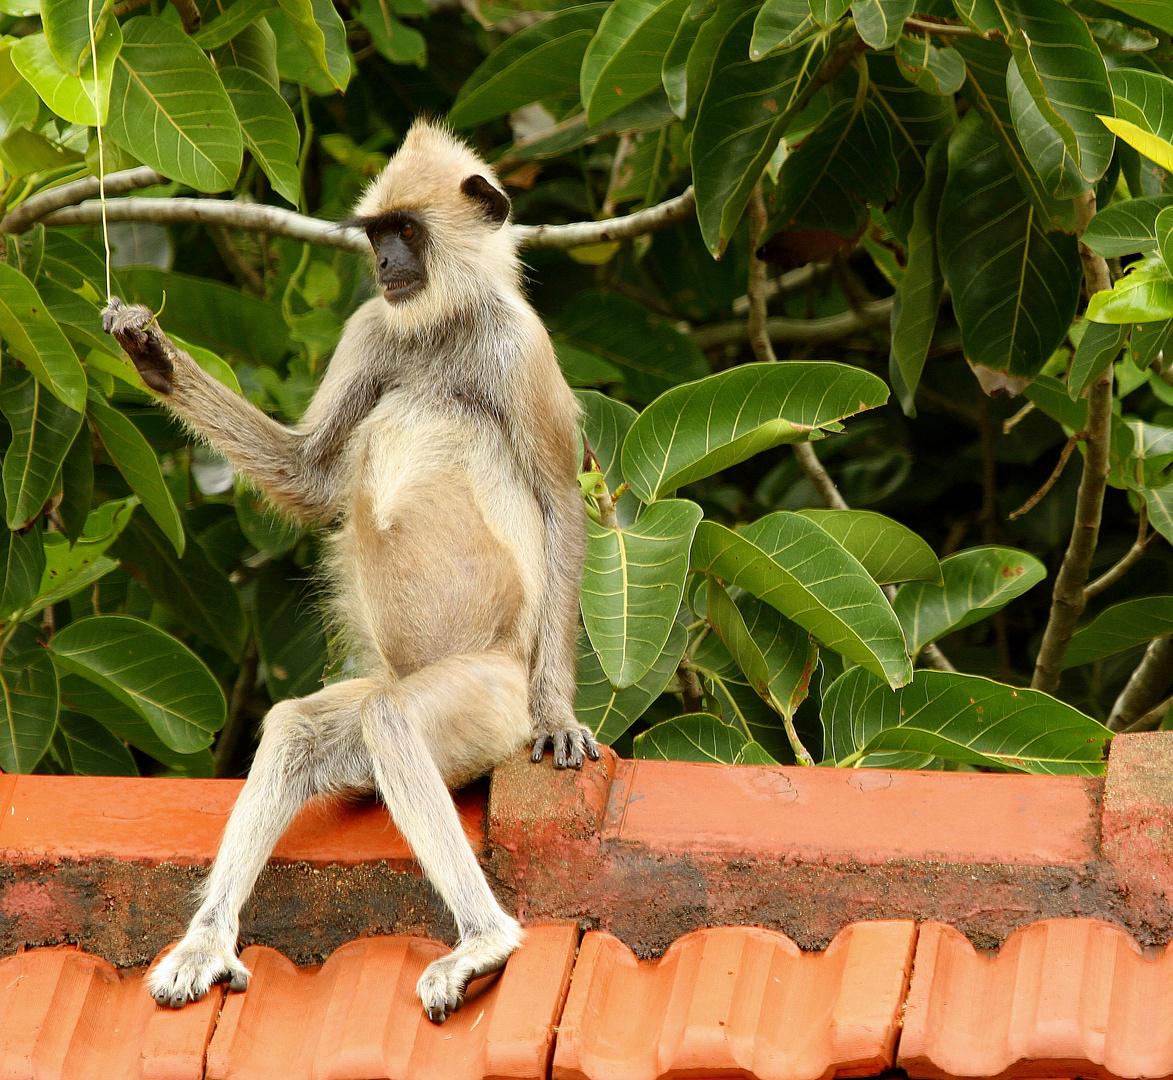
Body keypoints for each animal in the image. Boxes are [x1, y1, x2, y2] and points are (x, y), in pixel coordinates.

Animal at [103, 117, 595, 1017]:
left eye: (407, 232)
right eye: (376, 235)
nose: (386, 265)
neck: (440, 325)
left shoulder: (520, 346)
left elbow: (558, 506)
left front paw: (559, 718)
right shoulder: (373, 326)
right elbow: (308, 479)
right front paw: (150, 355)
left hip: (484, 697)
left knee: (394, 720)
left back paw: (485, 941)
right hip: (382, 703)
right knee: (299, 727)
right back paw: (206, 944)